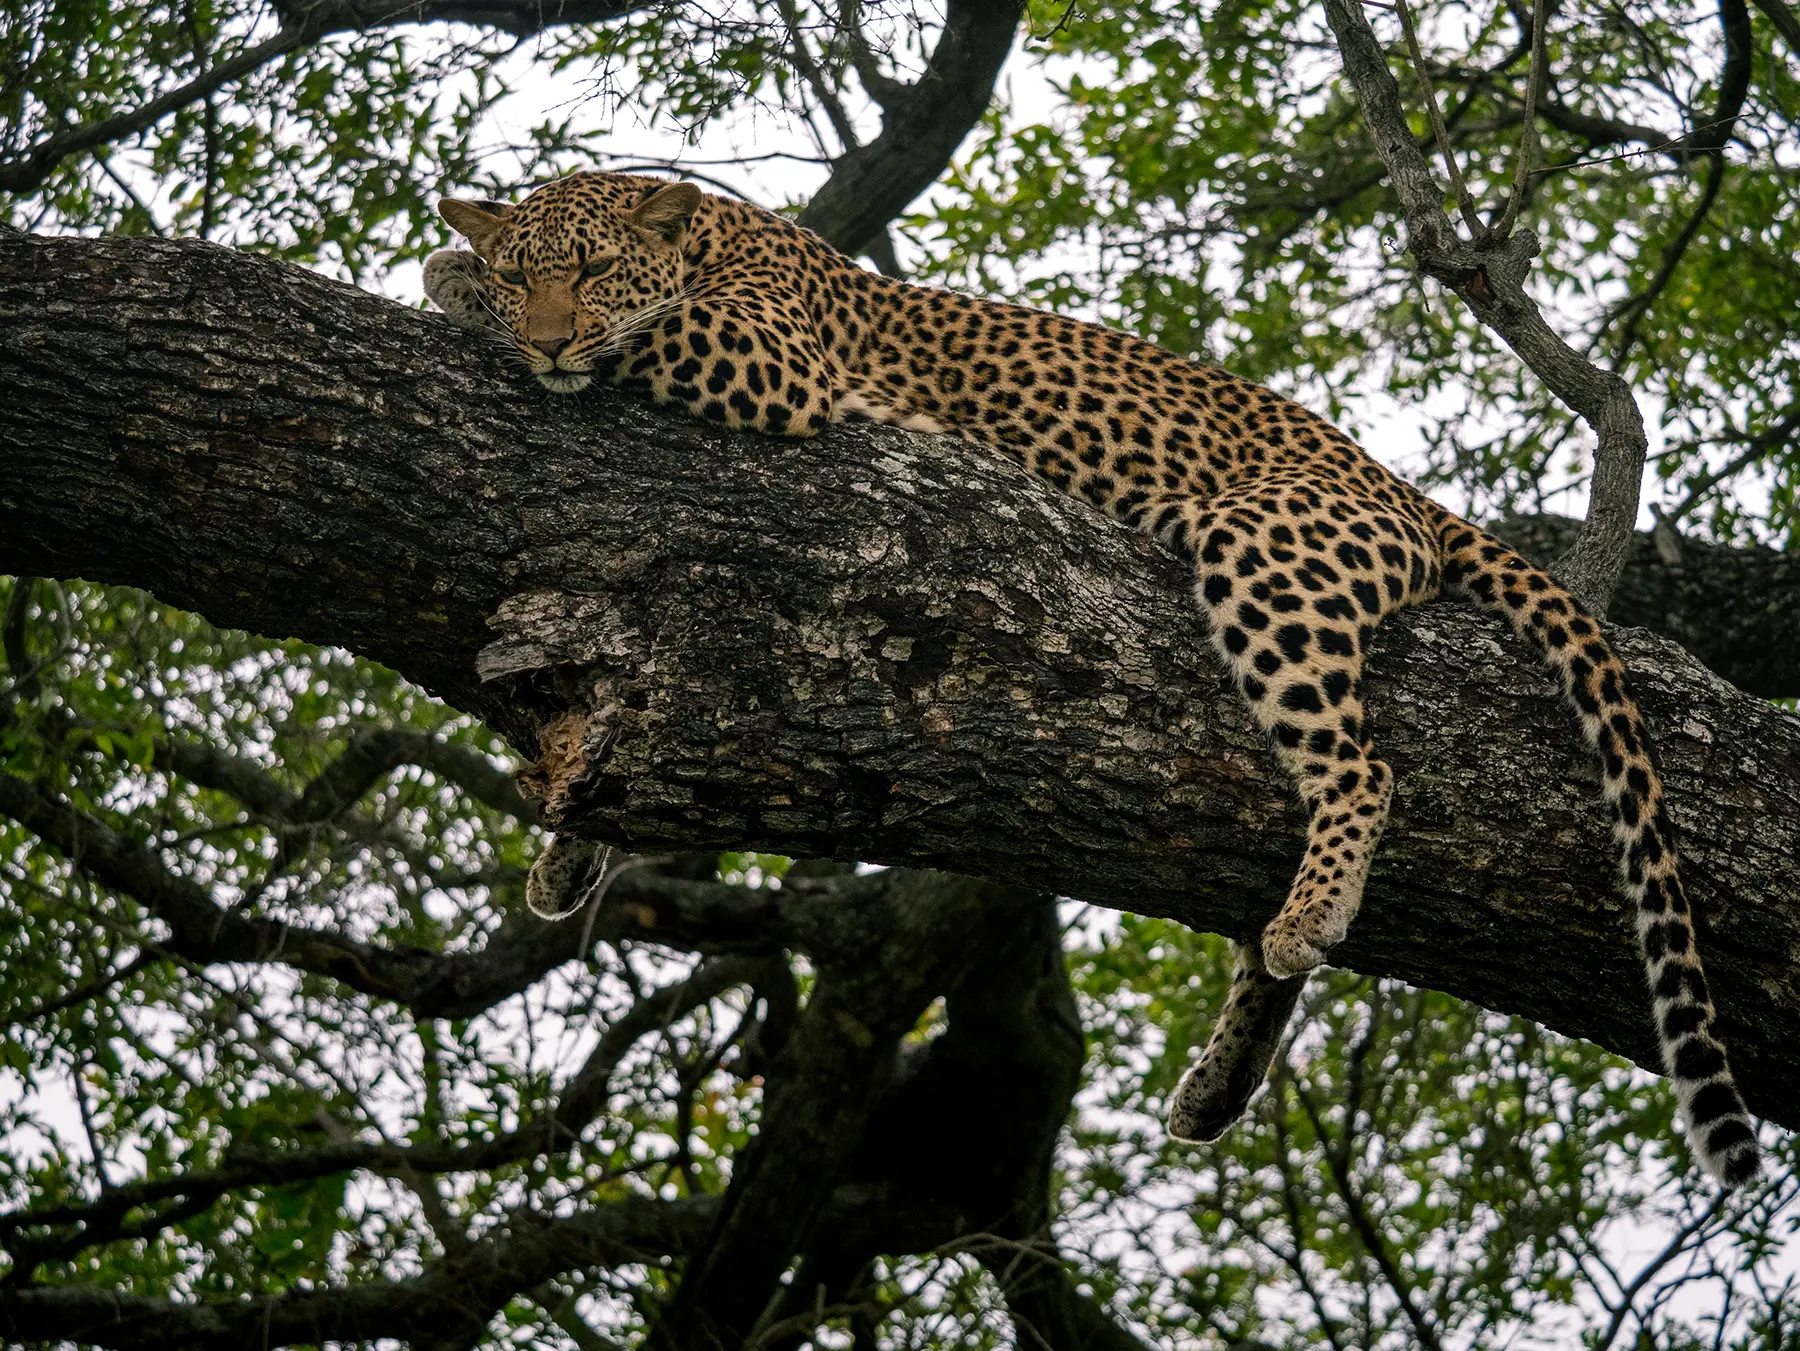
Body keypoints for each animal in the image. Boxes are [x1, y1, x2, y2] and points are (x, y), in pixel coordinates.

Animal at [423, 170, 1760, 1188]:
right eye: (533, 276)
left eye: (593, 274)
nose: (543, 336)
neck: (708, 235)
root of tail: (1403, 488)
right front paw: (566, 857)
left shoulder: (767, 358)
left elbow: (653, 333)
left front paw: (447, 280)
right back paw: (1226, 1068)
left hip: (1272, 552)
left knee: (1362, 767)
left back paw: (1310, 910)